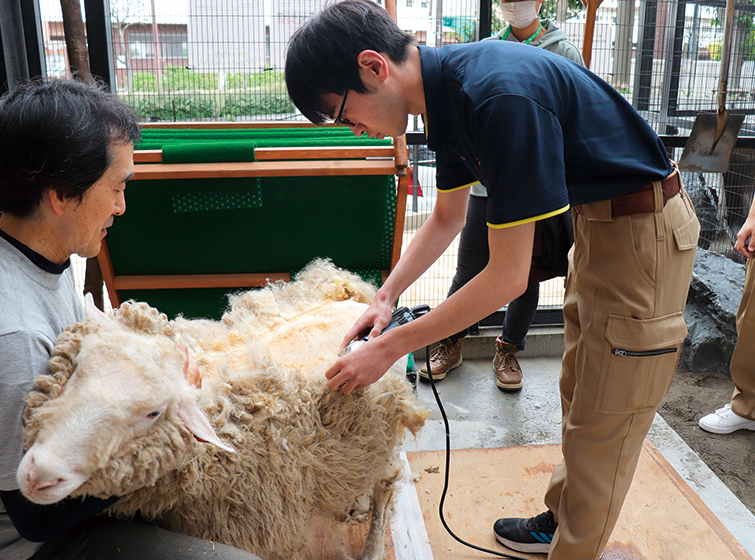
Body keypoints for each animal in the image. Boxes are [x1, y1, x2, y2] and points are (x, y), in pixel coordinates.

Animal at [17, 260, 428, 560]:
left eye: (154, 413)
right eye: (79, 366)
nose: (38, 475)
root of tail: (363, 304)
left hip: (384, 425)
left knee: (387, 482)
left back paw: (371, 545)